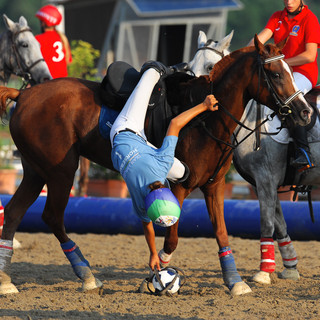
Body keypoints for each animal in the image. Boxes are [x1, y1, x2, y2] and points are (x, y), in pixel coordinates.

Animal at [0, 35, 312, 296]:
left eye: (288, 69)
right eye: (275, 74)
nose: (305, 112)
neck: (207, 119)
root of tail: (23, 95)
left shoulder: (214, 185)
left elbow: (222, 233)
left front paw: (235, 282)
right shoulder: (181, 186)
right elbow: (171, 240)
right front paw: (156, 274)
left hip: (35, 171)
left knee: (13, 213)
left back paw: (6, 280)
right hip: (61, 171)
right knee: (52, 216)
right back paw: (86, 275)